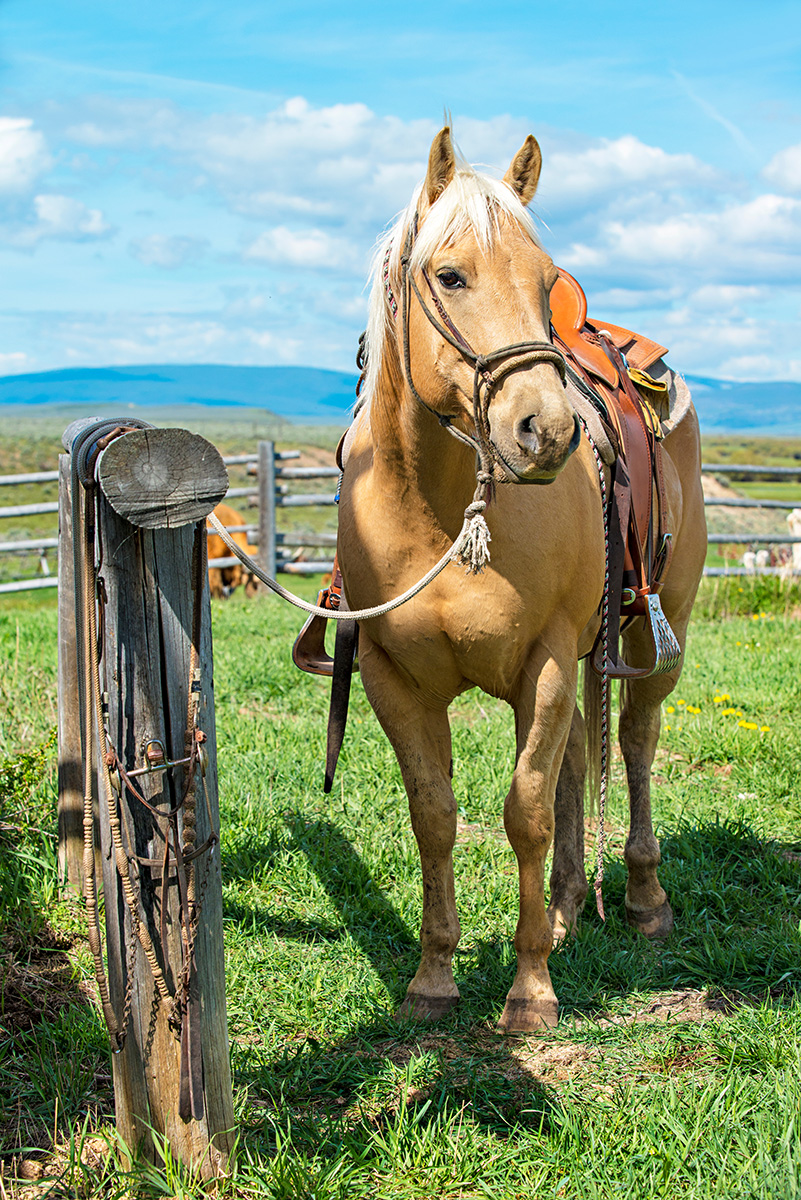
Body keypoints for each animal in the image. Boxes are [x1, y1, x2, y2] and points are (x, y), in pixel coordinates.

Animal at [338, 129, 705, 1032]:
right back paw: (571, 906)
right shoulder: (392, 679)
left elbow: (526, 813)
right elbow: (435, 816)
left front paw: (530, 987)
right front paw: (433, 977)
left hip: (656, 631)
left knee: (634, 743)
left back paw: (641, 897)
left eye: (544, 281)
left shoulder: (539, 664)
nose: (546, 430)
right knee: (579, 754)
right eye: (449, 275)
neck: (437, 509)